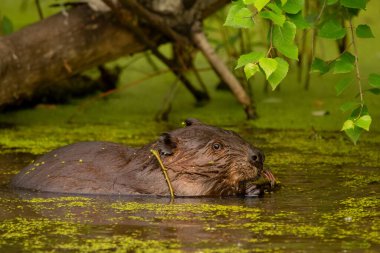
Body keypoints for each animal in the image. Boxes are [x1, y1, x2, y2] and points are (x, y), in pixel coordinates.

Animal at [10, 117, 274, 197]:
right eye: (217, 146)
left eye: (232, 133)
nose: (257, 156)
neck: (146, 167)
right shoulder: (155, 184)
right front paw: (253, 188)